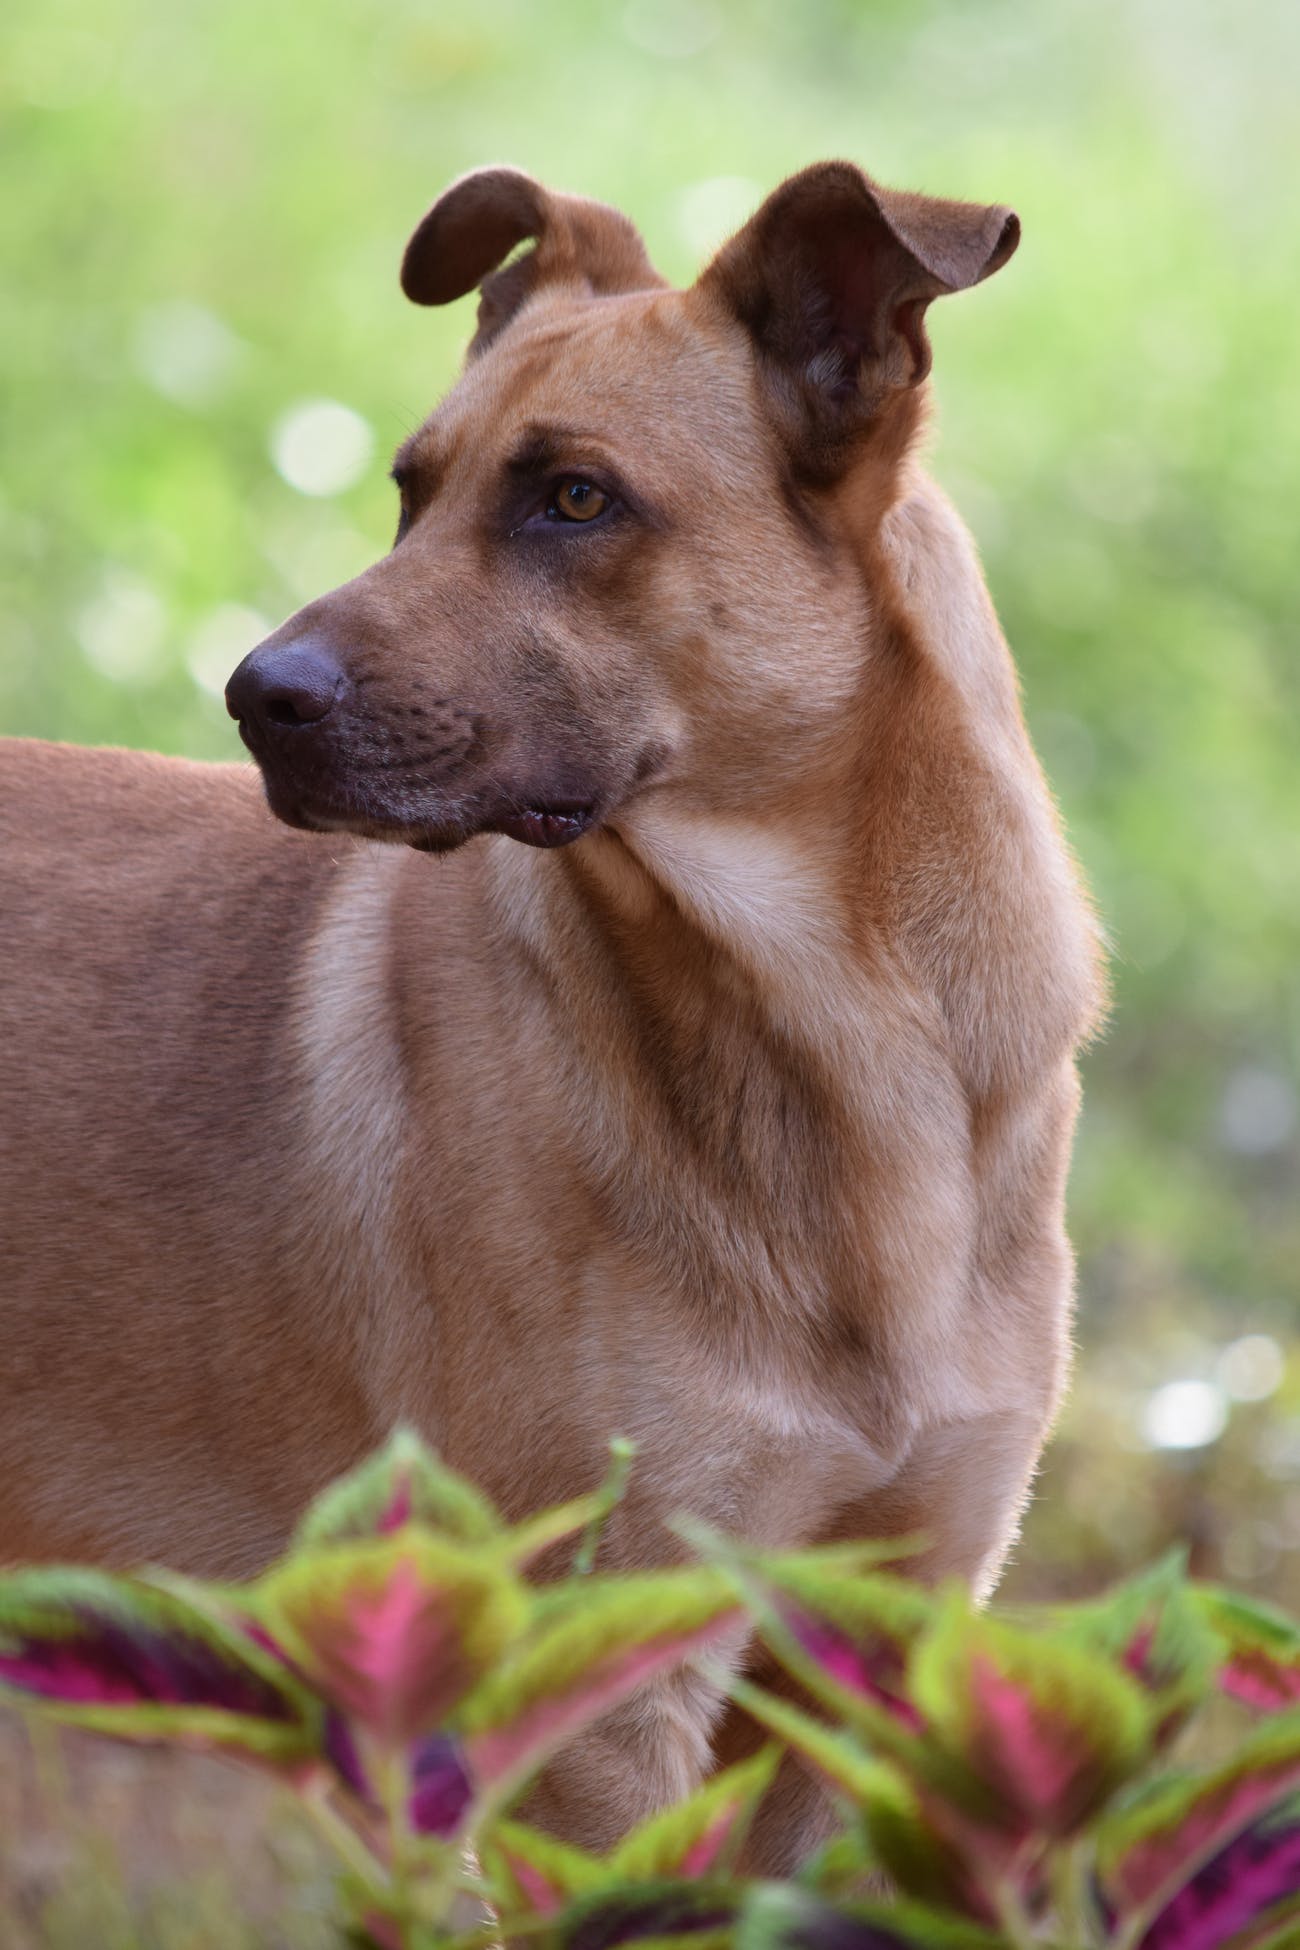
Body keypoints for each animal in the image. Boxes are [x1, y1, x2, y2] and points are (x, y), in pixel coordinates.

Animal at [0, 167, 1099, 1872]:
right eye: (409, 489)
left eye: (576, 499)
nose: (255, 699)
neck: (843, 1042)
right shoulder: (596, 1704)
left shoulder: (861, 1657)